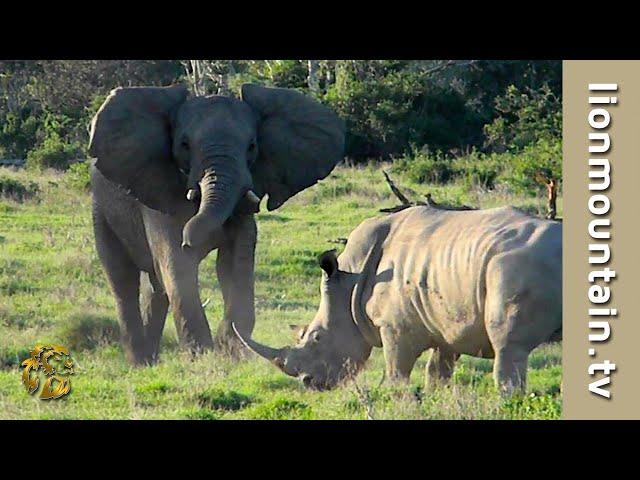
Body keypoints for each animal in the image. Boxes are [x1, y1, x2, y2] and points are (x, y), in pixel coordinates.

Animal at [89, 84, 344, 366]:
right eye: (184, 145)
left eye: (252, 146)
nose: (189, 241)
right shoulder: (158, 195)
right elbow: (176, 263)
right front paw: (201, 357)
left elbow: (235, 262)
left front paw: (231, 349)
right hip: (101, 210)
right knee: (123, 279)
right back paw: (139, 363)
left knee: (155, 287)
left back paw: (150, 360)